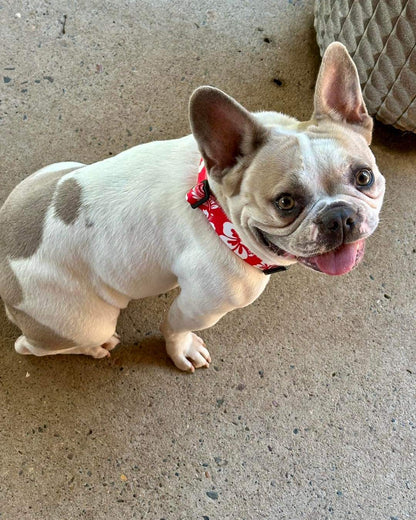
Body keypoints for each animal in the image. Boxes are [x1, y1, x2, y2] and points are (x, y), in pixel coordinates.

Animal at [0, 43, 384, 370]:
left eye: (364, 177)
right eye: (286, 202)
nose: (339, 215)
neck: (214, 206)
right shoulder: (201, 306)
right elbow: (174, 328)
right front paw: (181, 350)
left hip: (59, 169)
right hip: (82, 320)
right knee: (32, 346)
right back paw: (95, 347)